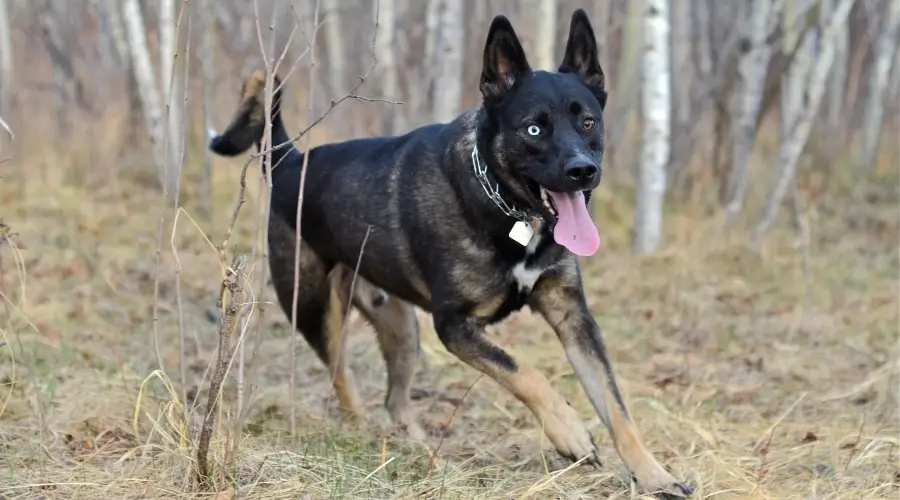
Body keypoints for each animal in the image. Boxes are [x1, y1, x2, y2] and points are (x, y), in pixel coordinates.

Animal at [209, 9, 688, 498]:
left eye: (588, 122)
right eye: (533, 129)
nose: (582, 171)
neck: (506, 207)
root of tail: (289, 160)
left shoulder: (573, 318)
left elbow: (616, 406)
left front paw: (655, 474)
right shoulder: (454, 326)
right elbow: (524, 372)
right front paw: (569, 430)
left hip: (402, 330)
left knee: (395, 400)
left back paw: (420, 451)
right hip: (317, 312)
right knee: (342, 378)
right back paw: (360, 433)